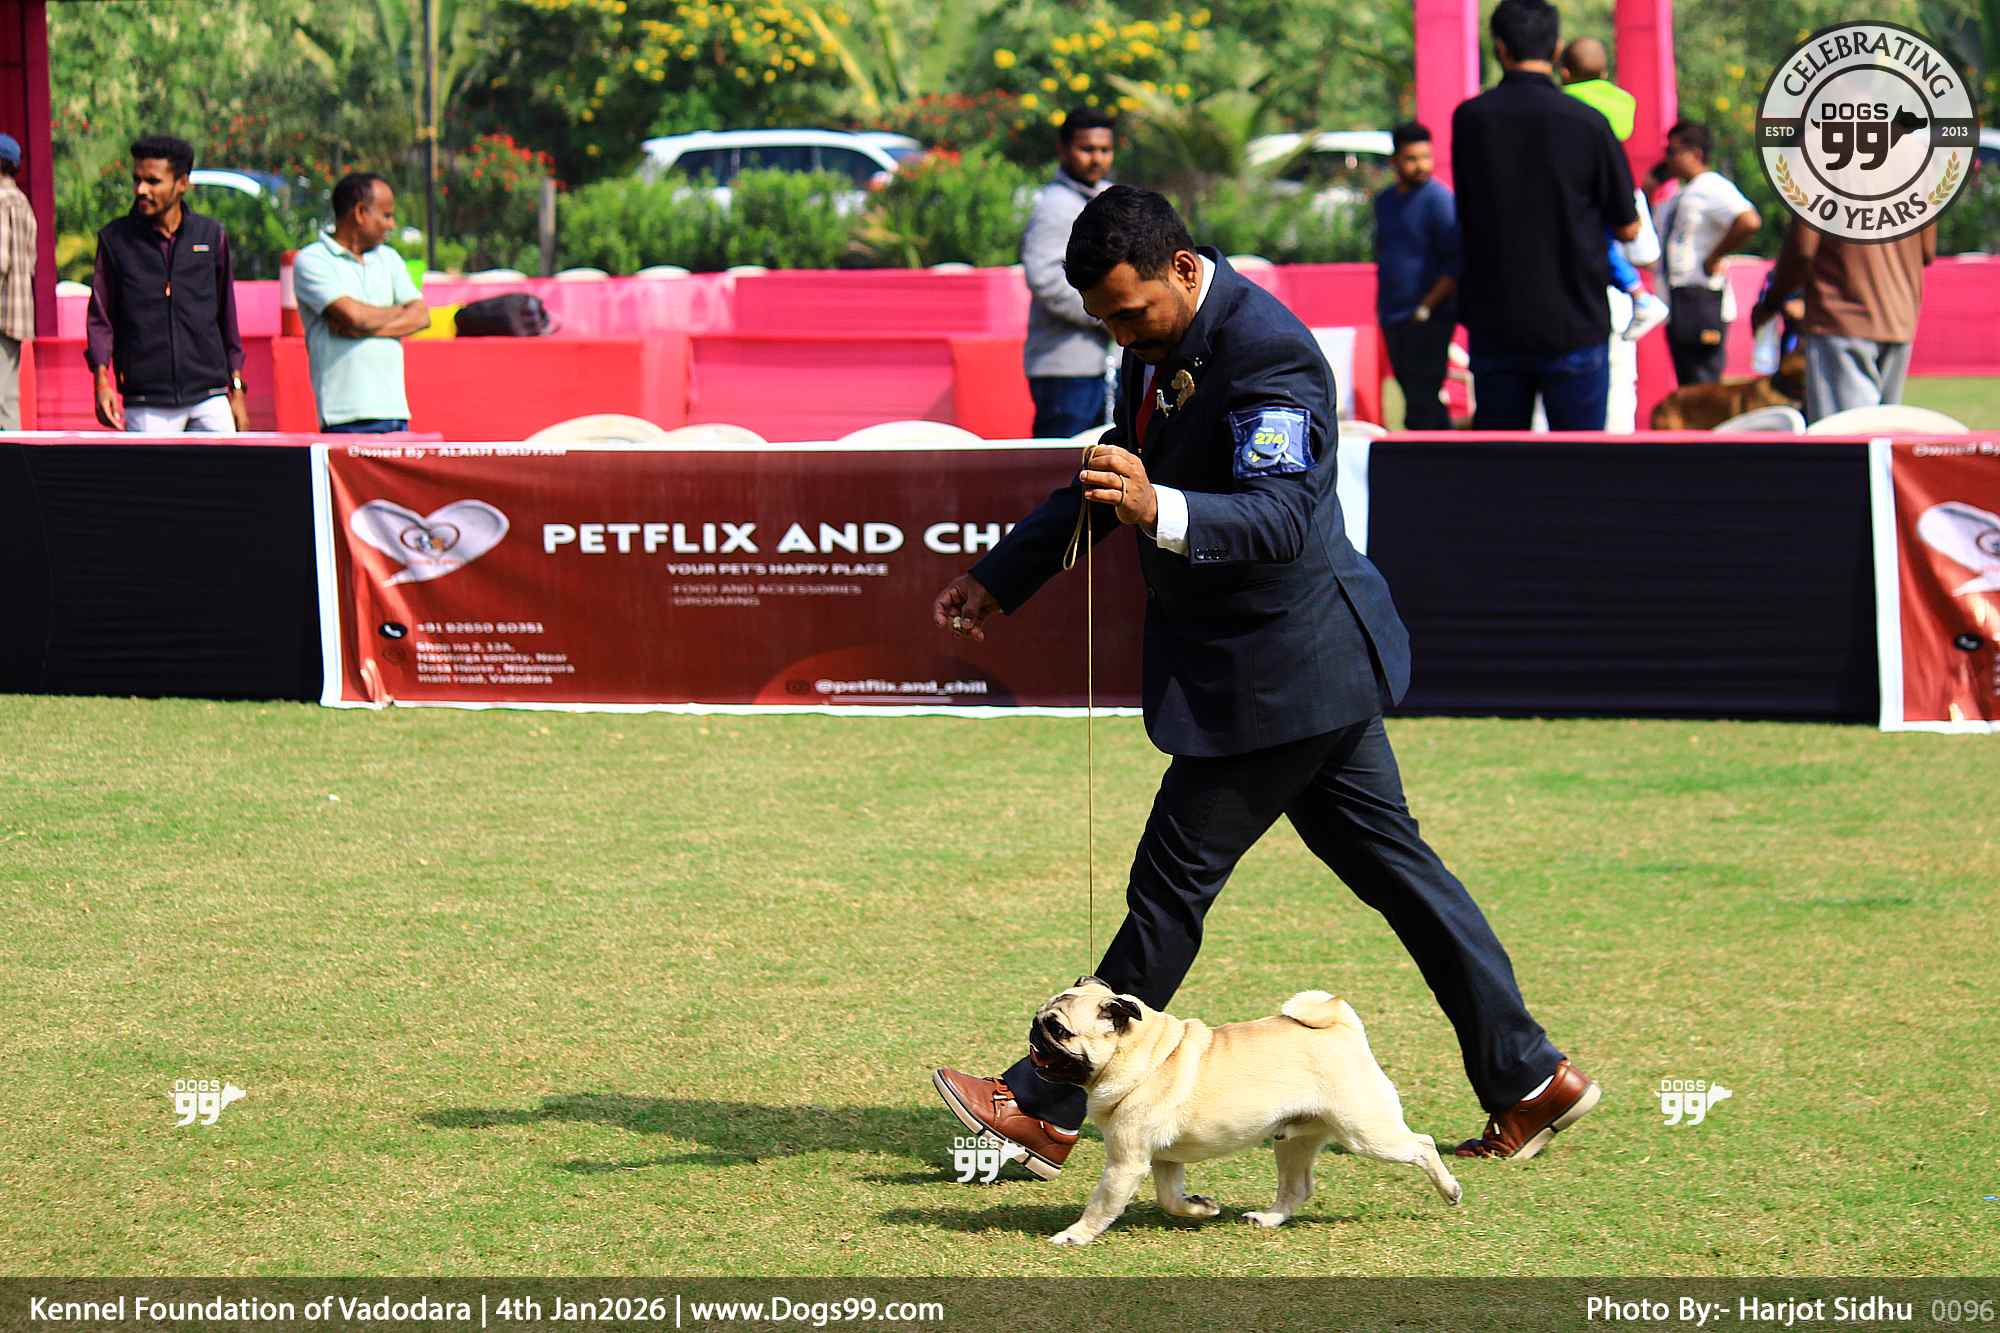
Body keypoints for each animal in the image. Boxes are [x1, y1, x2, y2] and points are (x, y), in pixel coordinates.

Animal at [1029, 977, 1462, 1247]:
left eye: (1060, 1030)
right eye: (1041, 1019)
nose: (1034, 1033)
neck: (1146, 1053)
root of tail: (1342, 1027)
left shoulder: (1126, 1162)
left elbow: (1102, 1204)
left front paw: (1075, 1235)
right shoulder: (1163, 1160)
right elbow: (1170, 1198)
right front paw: (1201, 1207)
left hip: (1366, 1133)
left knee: (1422, 1145)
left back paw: (1450, 1190)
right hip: (1294, 1141)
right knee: (1297, 1188)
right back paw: (1267, 1219)